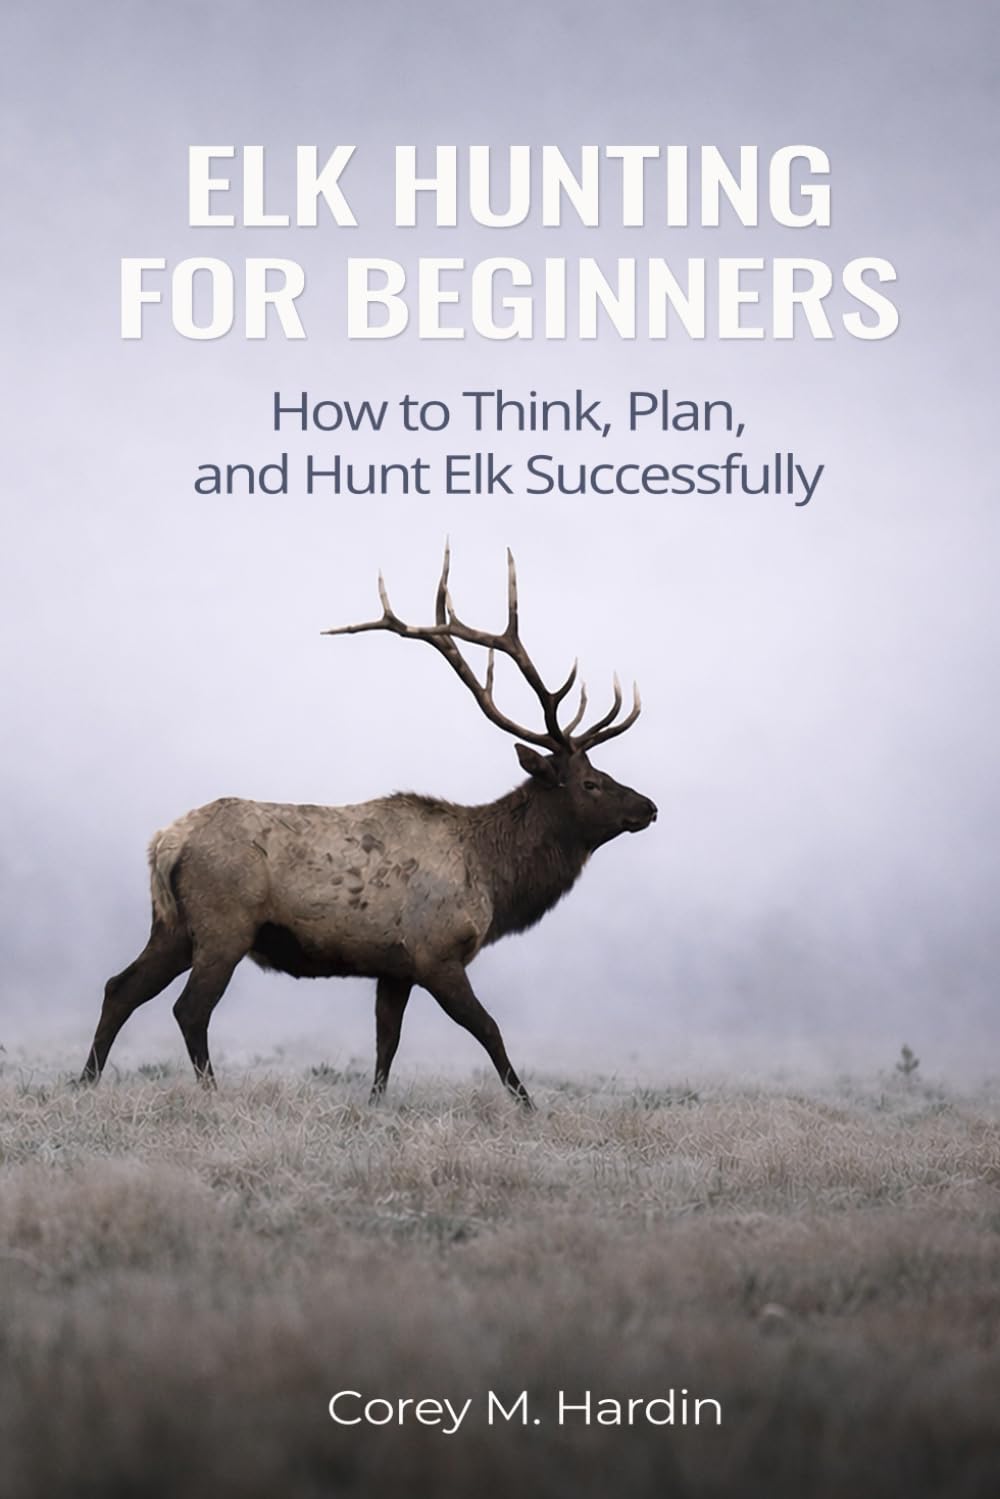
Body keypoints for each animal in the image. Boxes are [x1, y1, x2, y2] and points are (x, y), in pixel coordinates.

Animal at [81, 549, 657, 1108]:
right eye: (590, 783)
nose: (649, 807)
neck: (493, 879)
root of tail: (165, 842)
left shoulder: (394, 967)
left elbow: (387, 1040)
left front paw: (375, 1105)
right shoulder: (436, 951)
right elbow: (489, 1030)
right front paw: (528, 1105)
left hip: (173, 925)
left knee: (119, 986)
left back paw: (84, 1081)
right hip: (225, 922)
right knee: (190, 1008)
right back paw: (210, 1094)